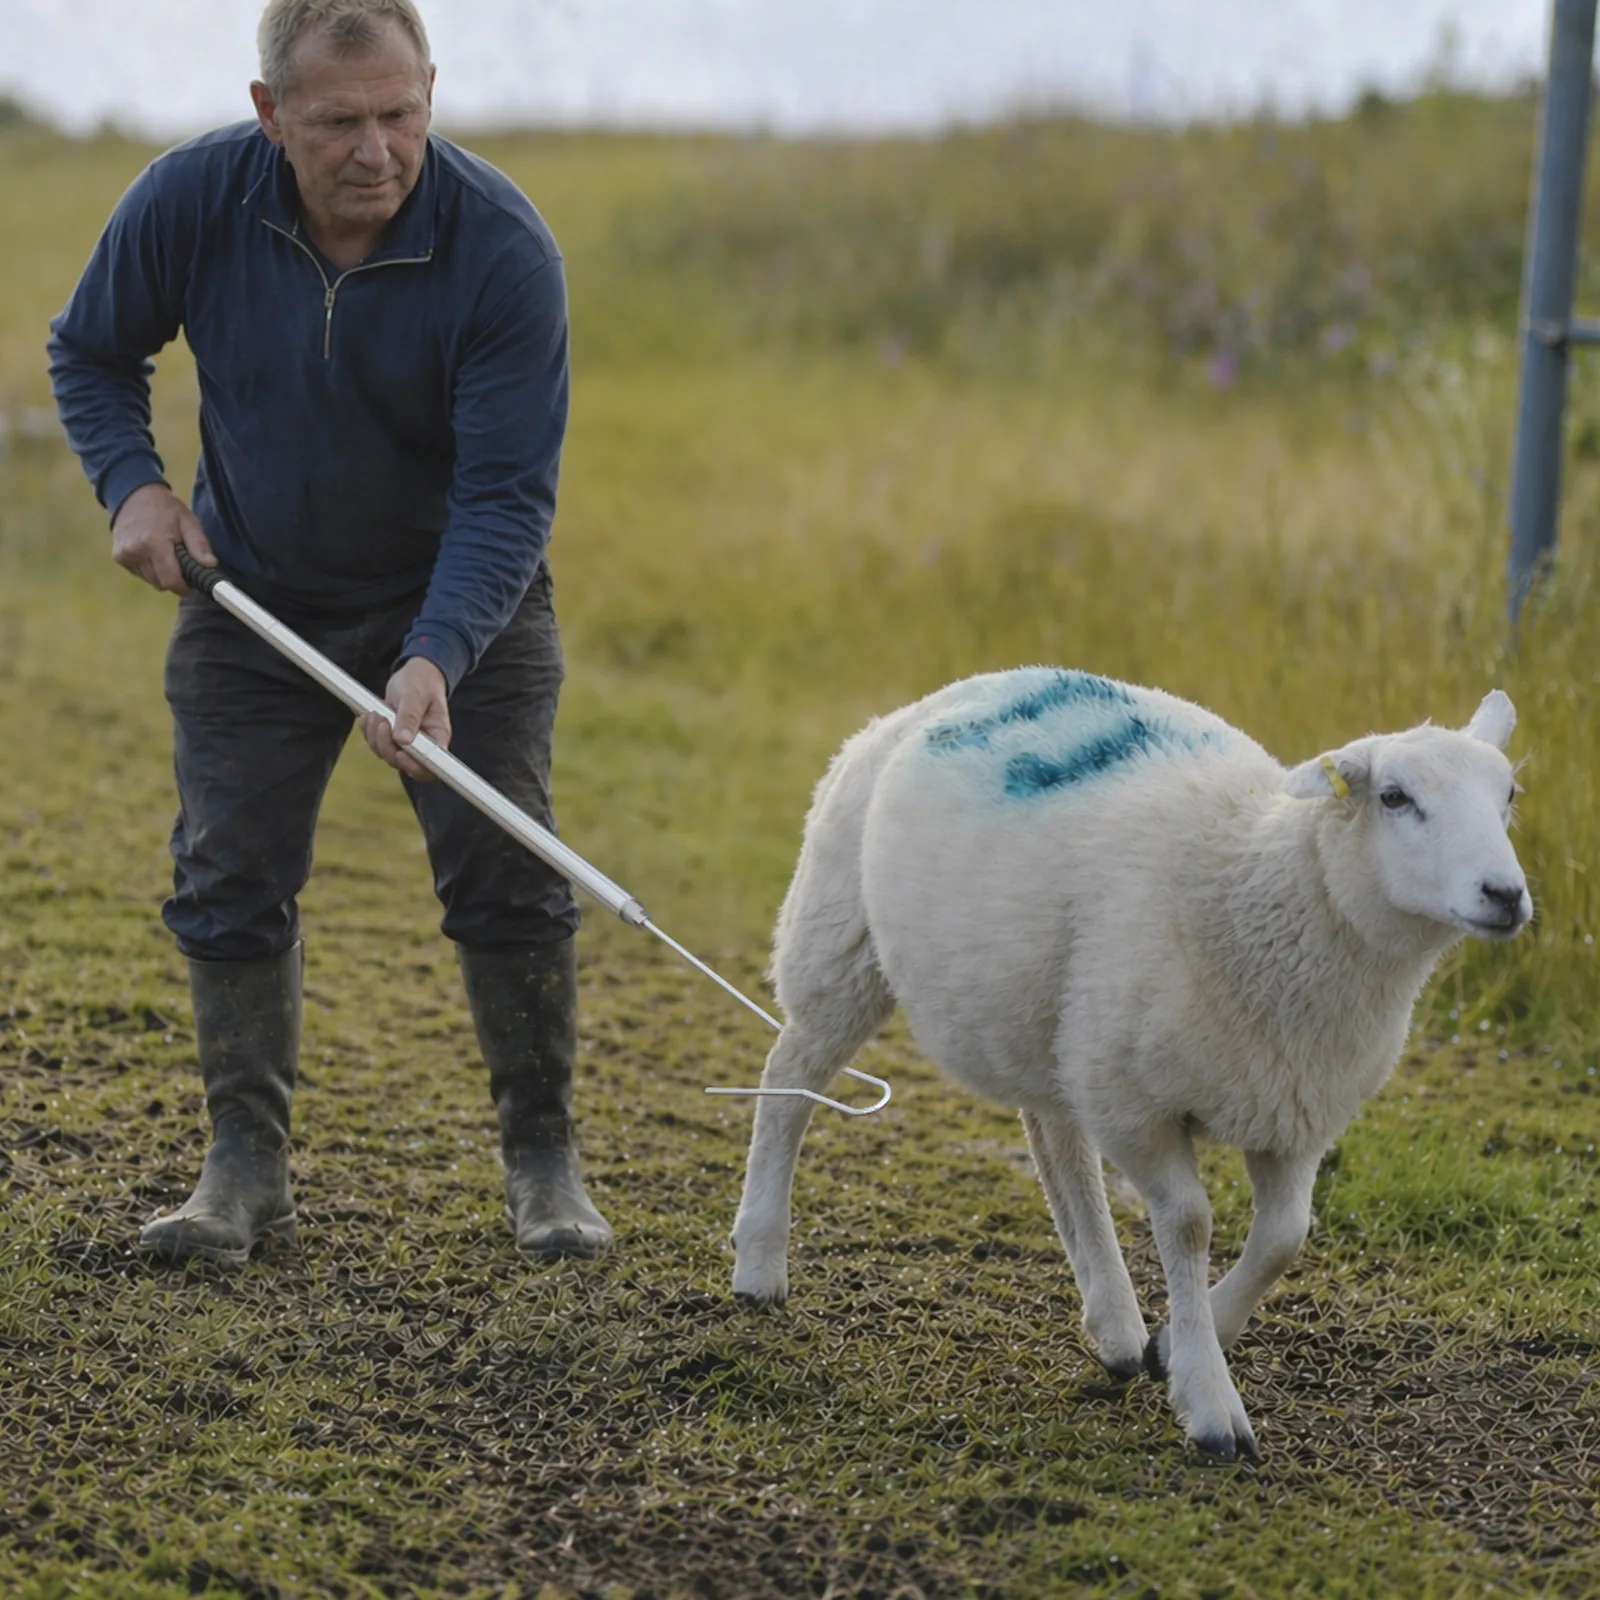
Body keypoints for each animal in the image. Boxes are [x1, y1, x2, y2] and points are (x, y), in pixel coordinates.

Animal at [729, 668, 1531, 1460]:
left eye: (1510, 796)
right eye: (1394, 797)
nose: (1505, 894)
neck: (1261, 891)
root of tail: (944, 694)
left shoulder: (1294, 1110)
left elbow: (1284, 1237)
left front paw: (1174, 1344)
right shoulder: (1135, 1104)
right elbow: (1189, 1224)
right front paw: (1209, 1400)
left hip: (1054, 1022)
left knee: (1057, 1146)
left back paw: (1116, 1329)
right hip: (842, 942)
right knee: (789, 1081)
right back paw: (759, 1264)